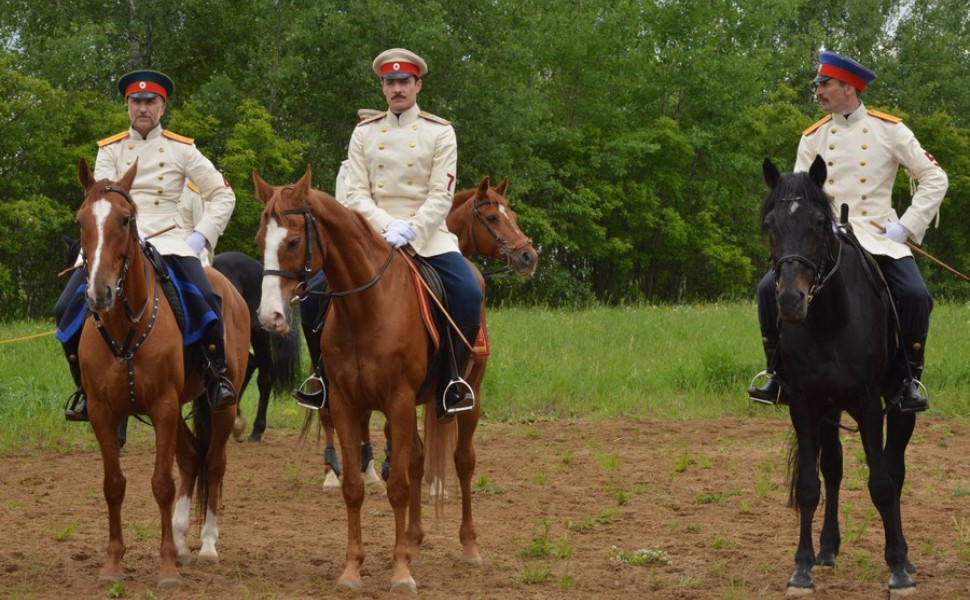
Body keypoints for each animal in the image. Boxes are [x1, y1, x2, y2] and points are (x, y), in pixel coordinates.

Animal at [76, 157, 250, 588]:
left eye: (126, 220)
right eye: (80, 221)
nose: (99, 293)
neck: (124, 325)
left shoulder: (165, 407)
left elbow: (161, 484)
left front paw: (167, 567)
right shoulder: (103, 413)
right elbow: (114, 485)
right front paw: (113, 564)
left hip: (221, 404)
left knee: (214, 463)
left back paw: (206, 545)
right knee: (190, 457)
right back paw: (179, 535)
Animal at [255, 165, 482, 592]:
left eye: (293, 240)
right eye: (261, 240)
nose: (269, 317)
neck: (365, 309)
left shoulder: (398, 401)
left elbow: (398, 487)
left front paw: (401, 573)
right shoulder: (346, 404)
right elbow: (354, 487)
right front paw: (353, 569)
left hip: (467, 395)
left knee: (463, 461)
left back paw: (468, 545)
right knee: (418, 460)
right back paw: (414, 540)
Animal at [756, 157, 916, 596]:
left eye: (817, 222)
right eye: (770, 224)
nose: (789, 301)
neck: (828, 320)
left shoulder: (869, 404)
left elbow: (882, 484)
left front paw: (897, 568)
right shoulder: (804, 404)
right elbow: (810, 484)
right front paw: (802, 568)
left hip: (900, 406)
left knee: (895, 470)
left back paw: (905, 556)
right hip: (828, 411)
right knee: (834, 468)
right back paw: (827, 548)